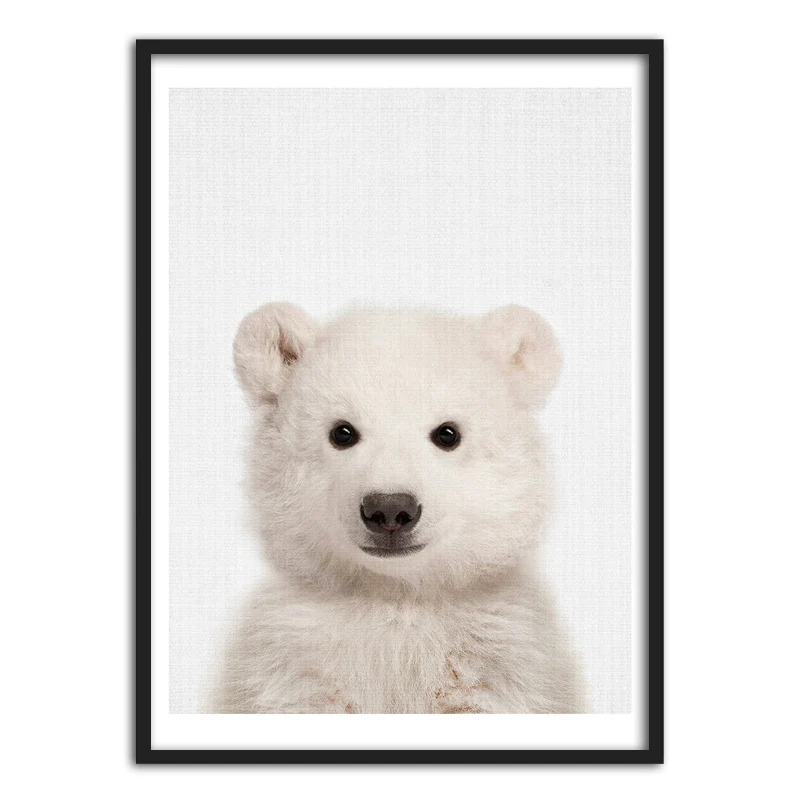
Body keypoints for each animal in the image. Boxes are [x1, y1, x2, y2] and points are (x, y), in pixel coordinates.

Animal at [215, 303, 584, 714]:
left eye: (448, 433)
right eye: (342, 431)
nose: (390, 509)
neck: (396, 594)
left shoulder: (500, 668)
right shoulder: (294, 671)